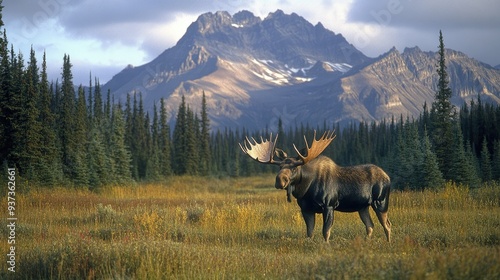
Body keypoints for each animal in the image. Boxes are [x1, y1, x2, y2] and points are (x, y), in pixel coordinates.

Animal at [240, 130, 392, 242]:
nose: (279, 181)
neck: (306, 190)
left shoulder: (329, 205)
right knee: (370, 226)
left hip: (380, 201)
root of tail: (388, 177)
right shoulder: (306, 209)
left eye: (294, 168)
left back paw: (388, 243)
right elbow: (309, 233)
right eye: (280, 167)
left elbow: (326, 231)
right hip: (362, 206)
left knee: (387, 225)